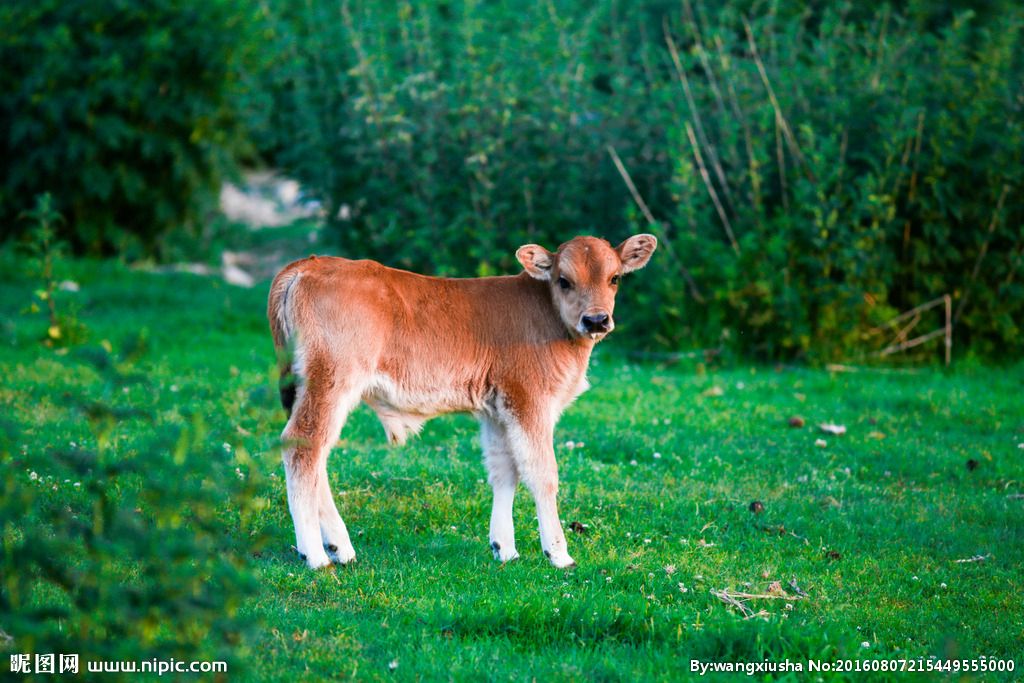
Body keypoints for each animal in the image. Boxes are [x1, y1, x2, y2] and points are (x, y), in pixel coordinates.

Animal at [268, 235, 659, 573]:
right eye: (563, 280)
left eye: (615, 278)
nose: (596, 320)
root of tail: (308, 264)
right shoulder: (530, 400)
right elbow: (542, 473)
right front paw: (558, 554)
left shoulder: (498, 409)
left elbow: (504, 470)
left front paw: (505, 549)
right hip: (331, 380)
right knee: (304, 446)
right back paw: (315, 555)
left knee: (316, 454)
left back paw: (340, 547)